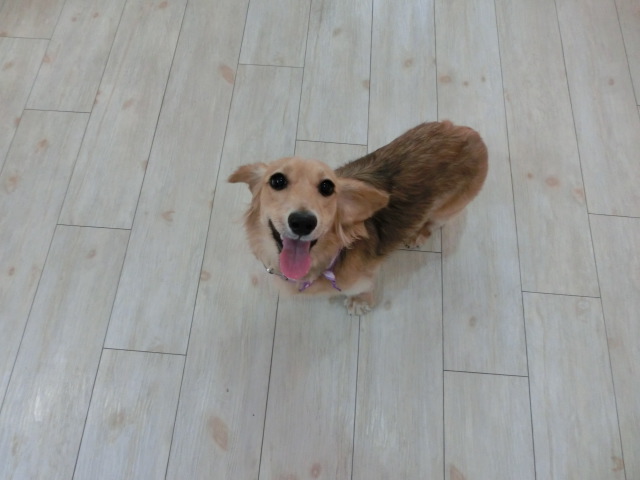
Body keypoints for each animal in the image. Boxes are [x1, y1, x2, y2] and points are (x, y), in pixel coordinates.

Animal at [229, 121, 488, 314]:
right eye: (277, 180)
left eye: (327, 187)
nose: (303, 222)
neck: (326, 259)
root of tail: (470, 134)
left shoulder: (362, 279)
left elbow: (363, 290)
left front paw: (359, 303)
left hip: (448, 208)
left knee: (434, 222)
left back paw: (417, 235)